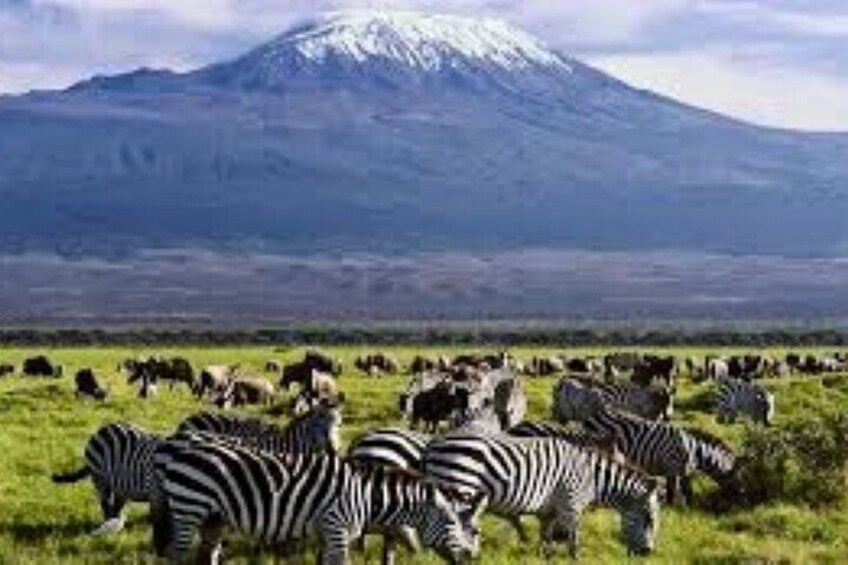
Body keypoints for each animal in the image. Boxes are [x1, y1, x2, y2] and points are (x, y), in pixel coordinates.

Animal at [151, 433, 486, 564]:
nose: (469, 558)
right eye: (455, 524)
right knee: (176, 553)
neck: (368, 496)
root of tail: (180, 452)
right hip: (189, 507)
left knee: (205, 554)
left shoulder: (327, 532)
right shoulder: (337, 529)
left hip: (214, 517)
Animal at [421, 431, 661, 558]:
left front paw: (543, 556)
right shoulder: (571, 504)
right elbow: (574, 538)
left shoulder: (549, 510)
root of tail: (435, 443)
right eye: (649, 519)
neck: (592, 478)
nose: (648, 553)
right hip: (459, 487)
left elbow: (546, 536)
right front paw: (575, 558)